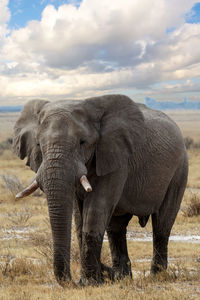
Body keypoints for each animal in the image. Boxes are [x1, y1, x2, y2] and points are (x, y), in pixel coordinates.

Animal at [13, 95, 188, 284]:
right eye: (38, 144)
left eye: (82, 142)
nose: (74, 282)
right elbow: (79, 216)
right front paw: (95, 279)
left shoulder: (117, 158)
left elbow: (96, 209)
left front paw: (91, 282)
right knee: (116, 228)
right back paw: (122, 277)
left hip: (179, 170)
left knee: (162, 224)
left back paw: (156, 276)